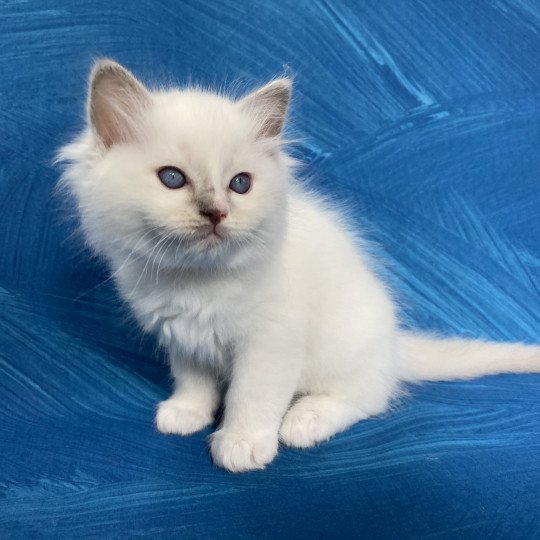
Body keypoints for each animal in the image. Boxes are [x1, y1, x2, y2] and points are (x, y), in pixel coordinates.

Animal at [58, 61, 540, 470]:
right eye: (172, 178)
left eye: (240, 184)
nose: (216, 213)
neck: (196, 281)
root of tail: (394, 345)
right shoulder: (183, 337)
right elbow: (194, 381)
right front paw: (187, 413)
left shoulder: (271, 343)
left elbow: (251, 397)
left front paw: (240, 444)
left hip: (342, 350)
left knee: (367, 397)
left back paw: (304, 421)